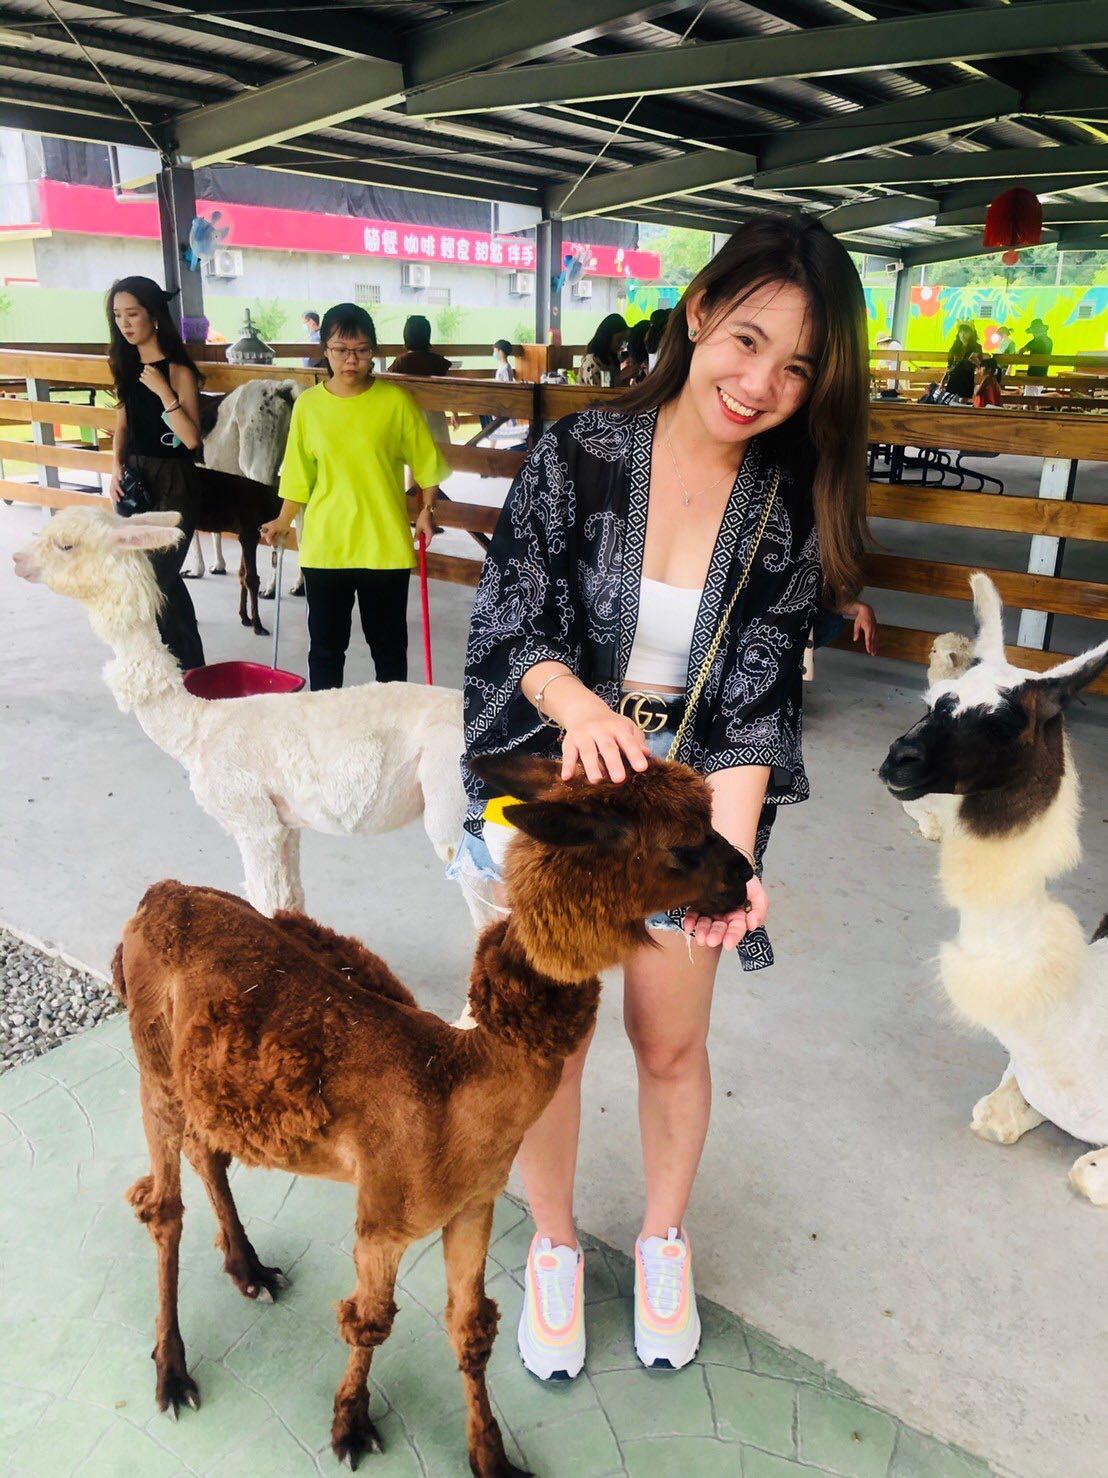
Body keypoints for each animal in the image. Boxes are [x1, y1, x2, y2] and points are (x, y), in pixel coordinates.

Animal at [13, 507, 466, 917]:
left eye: (65, 544)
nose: (16, 559)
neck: (197, 726)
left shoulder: (252, 820)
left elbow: (264, 902)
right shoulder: (286, 824)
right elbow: (290, 902)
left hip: (452, 805)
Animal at [112, 751, 753, 1471]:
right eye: (685, 845)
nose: (745, 874)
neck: (459, 1083)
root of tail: (159, 895)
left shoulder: (473, 1203)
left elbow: (470, 1329)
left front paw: (491, 1458)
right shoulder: (385, 1214)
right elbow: (369, 1322)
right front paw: (350, 1425)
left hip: (210, 1088)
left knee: (207, 1152)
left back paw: (249, 1271)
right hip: (154, 1068)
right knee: (163, 1207)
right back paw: (173, 1373)